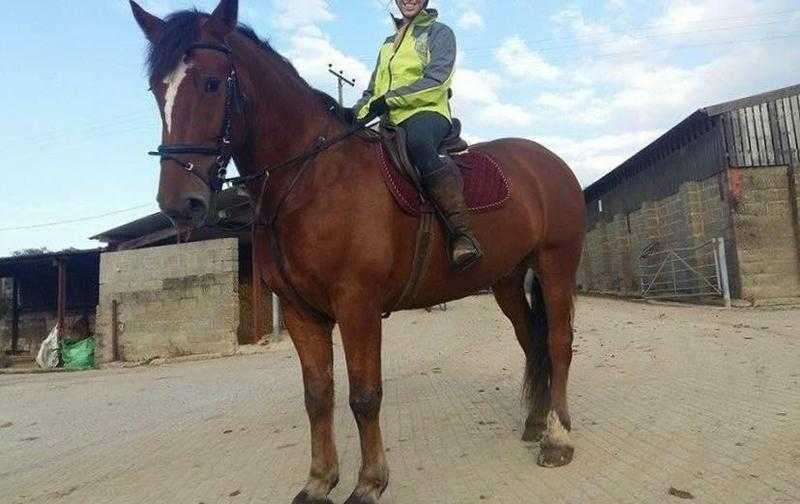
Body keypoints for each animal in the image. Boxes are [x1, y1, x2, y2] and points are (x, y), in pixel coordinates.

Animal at [128, 1, 584, 502]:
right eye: (157, 90)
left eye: (211, 82)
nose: (179, 204)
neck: (311, 179)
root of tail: (550, 163)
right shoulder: (301, 313)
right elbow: (318, 396)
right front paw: (319, 480)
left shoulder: (357, 305)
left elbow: (364, 395)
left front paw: (370, 482)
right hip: (506, 280)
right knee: (531, 341)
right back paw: (535, 424)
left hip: (556, 266)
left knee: (558, 344)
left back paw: (558, 439)